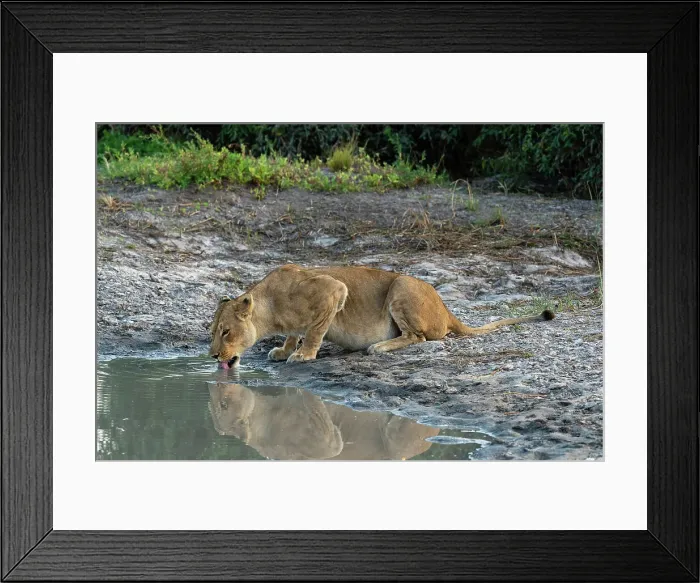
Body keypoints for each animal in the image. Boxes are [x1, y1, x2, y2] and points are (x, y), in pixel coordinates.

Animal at [208, 264, 554, 368]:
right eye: (214, 331)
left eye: (226, 332)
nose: (212, 356)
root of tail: (445, 308)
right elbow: (296, 332)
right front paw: (284, 349)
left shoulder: (334, 290)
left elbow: (315, 329)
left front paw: (304, 354)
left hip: (401, 286)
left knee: (418, 337)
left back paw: (379, 347)